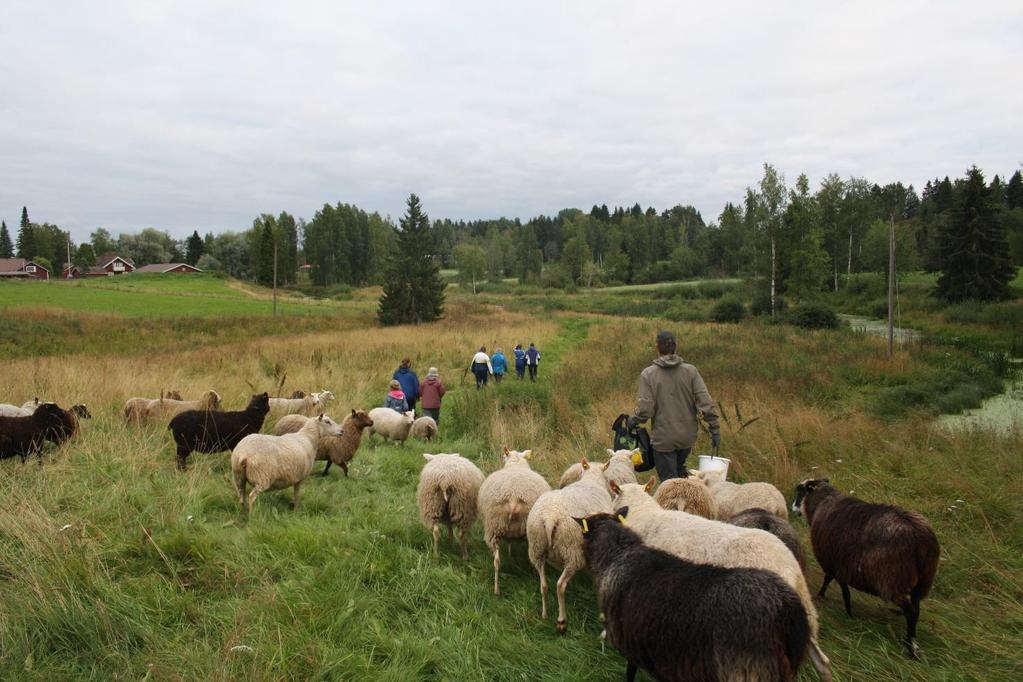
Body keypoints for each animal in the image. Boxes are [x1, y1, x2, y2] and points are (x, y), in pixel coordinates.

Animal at [476, 447, 552, 593]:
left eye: (503, 456)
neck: (516, 464)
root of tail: (514, 497)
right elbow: (511, 542)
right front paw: (511, 555)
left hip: (494, 527)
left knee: (496, 562)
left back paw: (496, 589)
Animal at [527, 458, 613, 633]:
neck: (592, 480)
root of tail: (549, 517)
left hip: (536, 549)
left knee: (544, 585)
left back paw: (545, 614)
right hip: (572, 551)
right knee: (560, 585)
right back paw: (561, 621)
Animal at [789, 478, 941, 658]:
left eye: (800, 491)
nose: (792, 508)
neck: (822, 502)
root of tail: (920, 538)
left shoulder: (835, 564)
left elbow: (838, 587)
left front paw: (839, 607)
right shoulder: (840, 566)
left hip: (892, 580)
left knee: (910, 612)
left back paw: (910, 646)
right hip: (922, 582)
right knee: (916, 610)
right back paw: (912, 640)